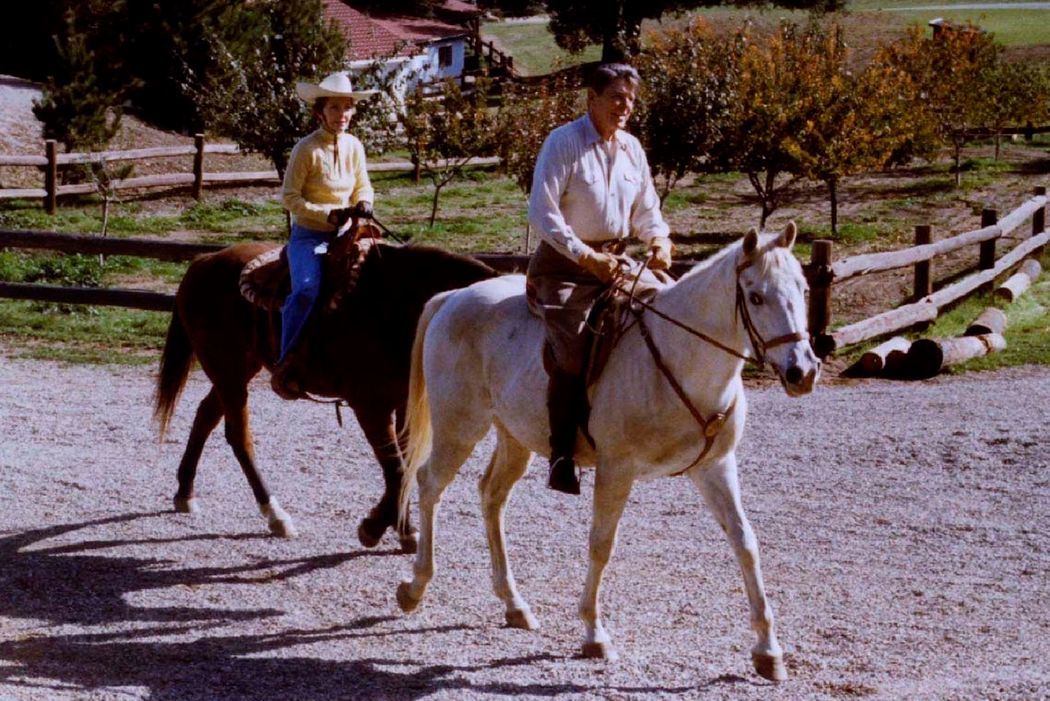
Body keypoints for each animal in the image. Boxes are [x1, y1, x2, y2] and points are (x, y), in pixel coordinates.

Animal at [153, 235, 497, 554]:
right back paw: (275, 515)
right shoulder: (370, 406)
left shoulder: (402, 404)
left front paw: (396, 528)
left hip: (235, 372)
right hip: (229, 373)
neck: (393, 304)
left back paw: (185, 493)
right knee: (239, 436)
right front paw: (378, 529)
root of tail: (204, 261)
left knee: (205, 415)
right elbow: (396, 468)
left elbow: (404, 468)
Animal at [394, 223, 818, 680]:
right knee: (429, 485)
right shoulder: (616, 470)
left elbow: (745, 542)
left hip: (514, 438)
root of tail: (454, 297)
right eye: (755, 296)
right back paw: (415, 587)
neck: (677, 357)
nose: (803, 371)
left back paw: (514, 604)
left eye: (803, 288)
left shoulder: (715, 468)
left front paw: (768, 650)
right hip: (460, 427)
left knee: (491, 496)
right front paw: (594, 634)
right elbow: (602, 544)